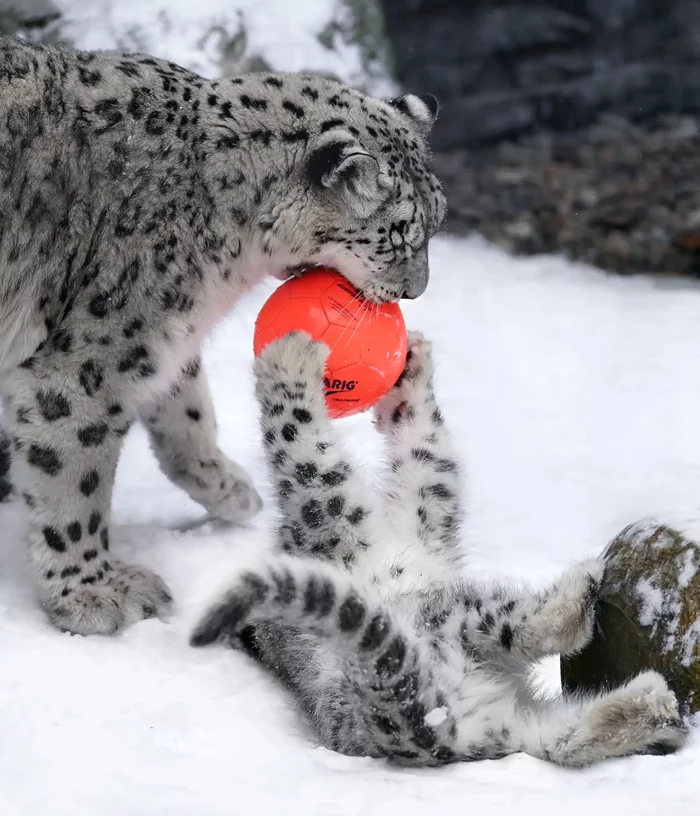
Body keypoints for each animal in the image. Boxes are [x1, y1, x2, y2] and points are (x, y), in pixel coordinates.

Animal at [0, 35, 446, 636]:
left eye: (438, 221)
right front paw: (92, 593)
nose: (416, 291)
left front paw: (228, 489)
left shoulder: (157, 337)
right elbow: (73, 474)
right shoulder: (89, 362)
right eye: (397, 238)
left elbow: (187, 408)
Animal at [193, 330, 688, 764]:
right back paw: (582, 600)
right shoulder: (330, 520)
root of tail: (430, 735)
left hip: (515, 730)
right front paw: (288, 357)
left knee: (563, 742)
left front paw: (410, 375)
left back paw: (655, 710)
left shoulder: (422, 513)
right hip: (448, 617)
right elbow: (302, 447)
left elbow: (426, 455)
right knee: (525, 630)